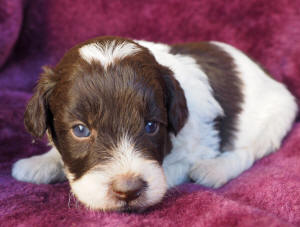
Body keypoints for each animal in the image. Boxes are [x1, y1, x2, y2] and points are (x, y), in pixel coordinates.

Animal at [11, 35, 298, 211]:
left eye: (151, 126)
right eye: (80, 130)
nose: (128, 191)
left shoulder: (200, 143)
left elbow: (171, 171)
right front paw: (39, 163)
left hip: (274, 118)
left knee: (247, 153)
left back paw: (214, 170)